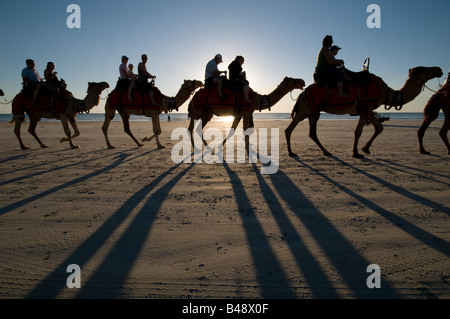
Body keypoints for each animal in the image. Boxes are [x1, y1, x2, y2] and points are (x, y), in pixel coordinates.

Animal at [284, 66, 442, 159]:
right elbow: (358, 131)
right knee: (289, 129)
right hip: (305, 109)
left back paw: (326, 151)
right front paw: (356, 153)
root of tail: (303, 93)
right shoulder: (367, 107)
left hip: (313, 112)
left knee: (312, 133)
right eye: (426, 69)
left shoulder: (368, 109)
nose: (439, 69)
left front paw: (365, 148)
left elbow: (379, 127)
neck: (386, 92)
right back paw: (292, 152)